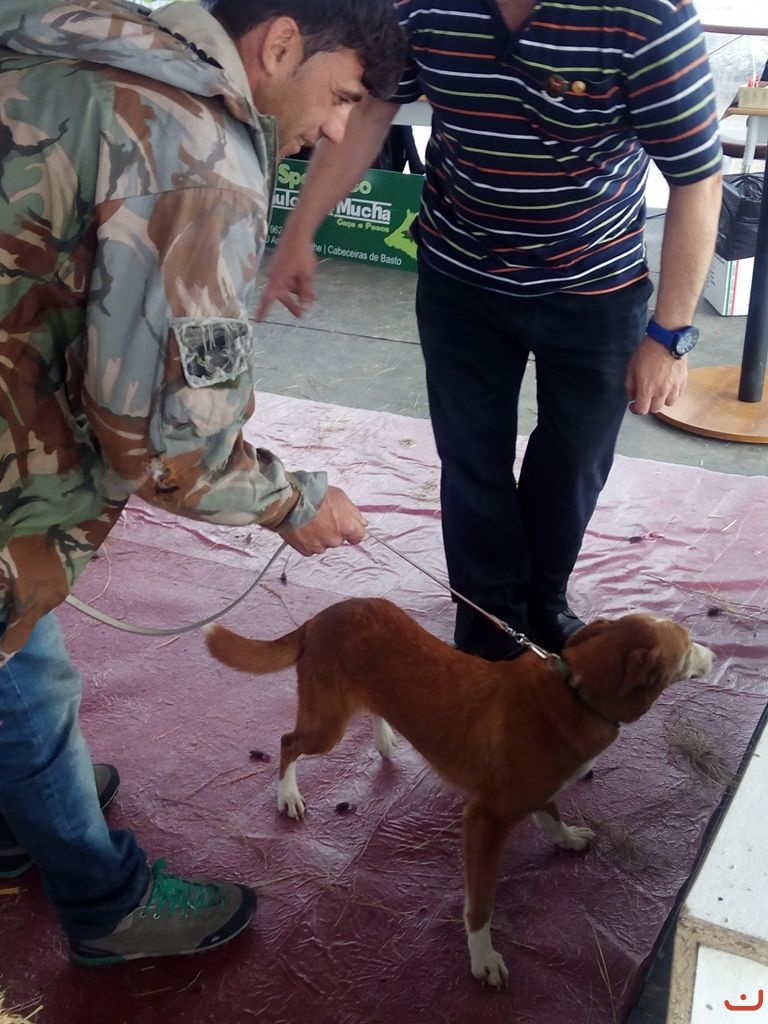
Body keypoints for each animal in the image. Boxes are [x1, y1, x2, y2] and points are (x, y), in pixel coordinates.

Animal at [205, 598, 714, 988]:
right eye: (688, 647)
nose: (712, 655)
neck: (576, 692)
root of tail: (322, 616)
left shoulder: (536, 793)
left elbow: (550, 812)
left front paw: (568, 838)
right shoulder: (484, 821)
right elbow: (481, 903)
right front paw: (482, 958)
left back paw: (385, 737)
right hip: (325, 727)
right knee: (287, 743)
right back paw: (287, 795)